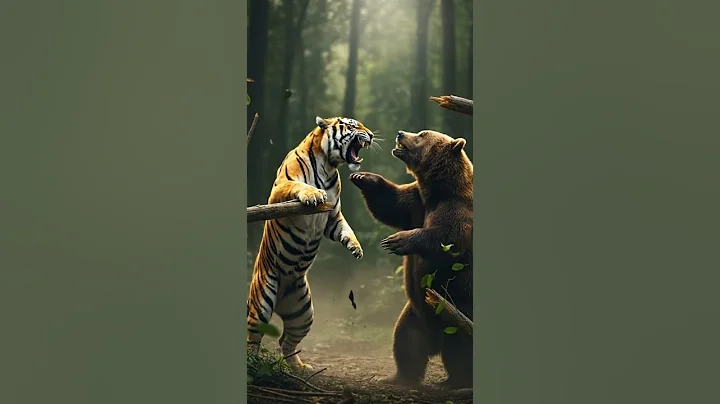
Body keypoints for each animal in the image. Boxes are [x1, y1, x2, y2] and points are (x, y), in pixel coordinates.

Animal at [247, 116, 375, 369]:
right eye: (353, 125)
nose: (372, 135)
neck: (328, 165)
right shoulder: (278, 192)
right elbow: (299, 186)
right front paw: (313, 194)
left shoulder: (333, 216)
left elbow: (345, 228)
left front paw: (355, 247)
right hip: (261, 304)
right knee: (252, 339)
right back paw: (253, 363)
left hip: (303, 312)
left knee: (286, 340)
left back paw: (299, 367)